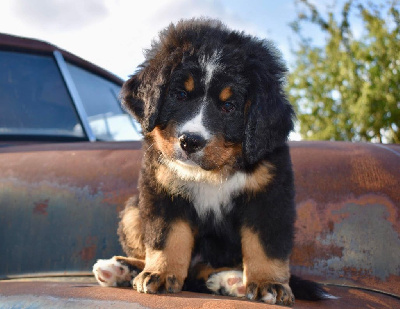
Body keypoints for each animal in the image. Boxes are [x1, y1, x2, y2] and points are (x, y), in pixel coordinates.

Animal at [93, 18, 332, 304]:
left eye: (228, 106)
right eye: (180, 95)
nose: (190, 141)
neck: (213, 173)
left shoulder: (269, 196)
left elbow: (266, 246)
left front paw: (270, 283)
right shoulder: (163, 189)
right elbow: (166, 237)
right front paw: (161, 273)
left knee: (201, 271)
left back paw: (231, 281)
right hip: (133, 210)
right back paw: (120, 269)